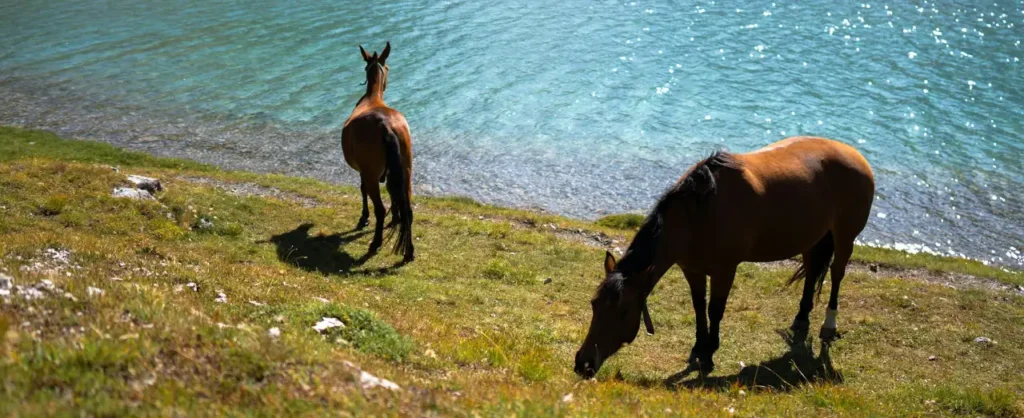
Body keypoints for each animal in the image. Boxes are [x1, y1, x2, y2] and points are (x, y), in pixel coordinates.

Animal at [341, 42, 415, 262]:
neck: (371, 98)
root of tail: (386, 125)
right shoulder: (392, 172)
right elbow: (393, 192)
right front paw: (396, 218)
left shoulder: (363, 170)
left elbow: (362, 189)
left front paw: (363, 218)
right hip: (406, 170)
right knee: (408, 208)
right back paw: (409, 251)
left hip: (372, 173)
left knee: (380, 208)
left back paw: (375, 243)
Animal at [573, 136, 874, 379]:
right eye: (594, 304)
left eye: (623, 311)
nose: (583, 364)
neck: (699, 213)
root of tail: (855, 154)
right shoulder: (692, 269)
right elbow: (698, 306)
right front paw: (698, 347)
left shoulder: (725, 270)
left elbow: (714, 310)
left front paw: (708, 355)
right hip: (812, 238)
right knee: (812, 272)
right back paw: (800, 320)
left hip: (845, 237)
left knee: (837, 274)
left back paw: (828, 325)